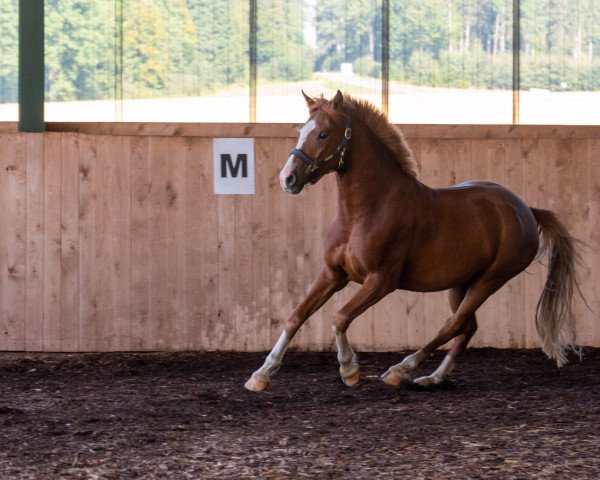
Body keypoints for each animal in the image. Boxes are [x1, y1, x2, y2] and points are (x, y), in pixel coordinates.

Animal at [246, 91, 580, 394]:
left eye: (322, 133)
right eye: (300, 131)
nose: (288, 179)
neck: (367, 210)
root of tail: (525, 209)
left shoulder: (381, 280)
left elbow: (339, 318)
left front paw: (349, 369)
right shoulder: (333, 274)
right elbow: (295, 317)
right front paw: (261, 375)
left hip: (490, 280)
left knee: (452, 325)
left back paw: (400, 370)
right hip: (461, 283)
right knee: (466, 326)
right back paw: (433, 378)